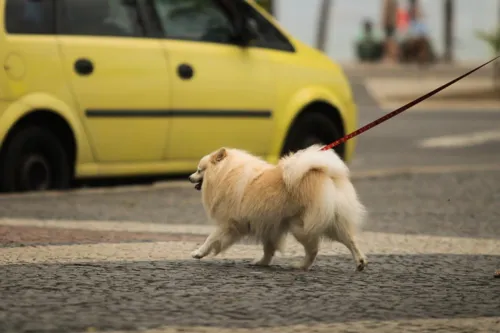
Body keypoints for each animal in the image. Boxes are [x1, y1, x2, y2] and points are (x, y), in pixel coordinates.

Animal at [188, 144, 368, 272]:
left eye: (199, 170)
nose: (189, 177)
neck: (225, 174)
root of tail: (324, 174)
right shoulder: (269, 225)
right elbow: (269, 249)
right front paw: (262, 262)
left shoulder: (229, 223)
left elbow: (211, 238)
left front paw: (198, 253)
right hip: (332, 222)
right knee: (350, 240)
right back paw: (360, 262)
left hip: (300, 226)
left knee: (314, 249)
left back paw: (301, 266)